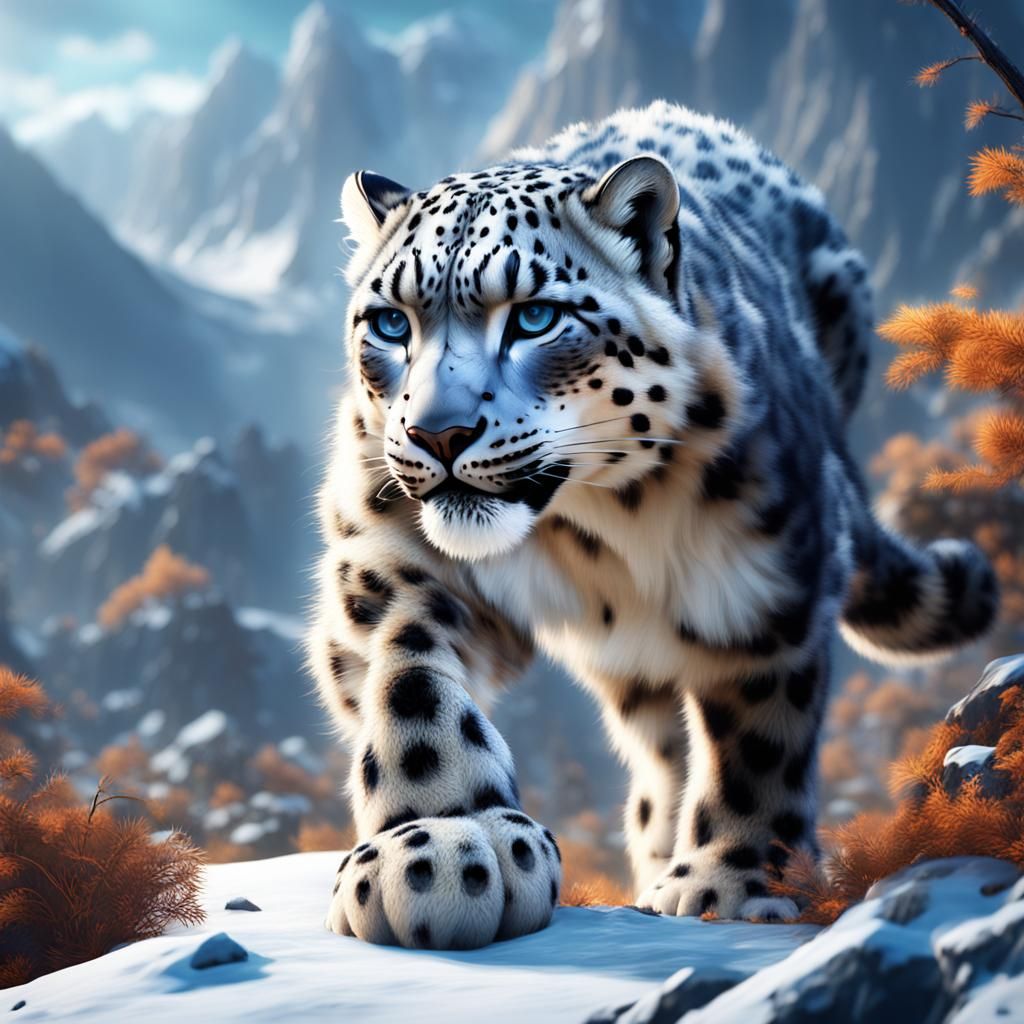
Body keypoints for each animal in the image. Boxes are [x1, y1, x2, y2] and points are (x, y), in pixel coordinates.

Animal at [308, 101, 997, 950]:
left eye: (535, 317)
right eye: (391, 324)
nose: (439, 434)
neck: (587, 531)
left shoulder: (770, 582)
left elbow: (757, 738)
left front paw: (731, 884)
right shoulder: (386, 546)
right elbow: (408, 678)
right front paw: (444, 845)